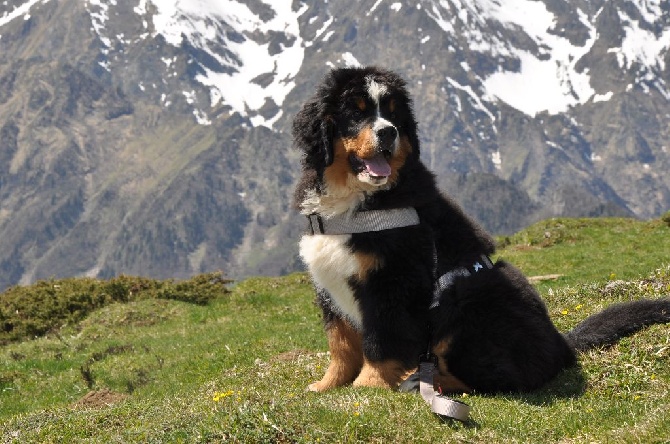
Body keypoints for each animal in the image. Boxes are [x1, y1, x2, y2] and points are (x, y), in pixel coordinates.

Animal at [294, 65, 670, 392]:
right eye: (356, 112)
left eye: (392, 112)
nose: (389, 132)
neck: (354, 202)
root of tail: (562, 343)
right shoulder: (329, 285)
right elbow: (341, 342)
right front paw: (328, 385)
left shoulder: (392, 283)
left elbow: (380, 341)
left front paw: (368, 387)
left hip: (470, 302)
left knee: (502, 373)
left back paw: (426, 380)